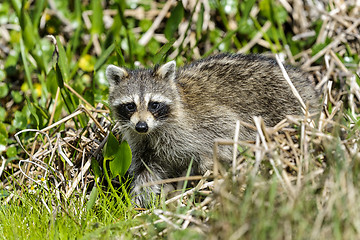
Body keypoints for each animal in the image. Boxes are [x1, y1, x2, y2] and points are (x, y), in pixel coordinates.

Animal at [105, 53, 320, 207]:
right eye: (130, 106)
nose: (141, 126)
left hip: (288, 106)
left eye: (154, 104)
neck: (154, 130)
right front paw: (137, 204)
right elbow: (146, 174)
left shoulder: (205, 122)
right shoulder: (141, 144)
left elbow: (227, 133)